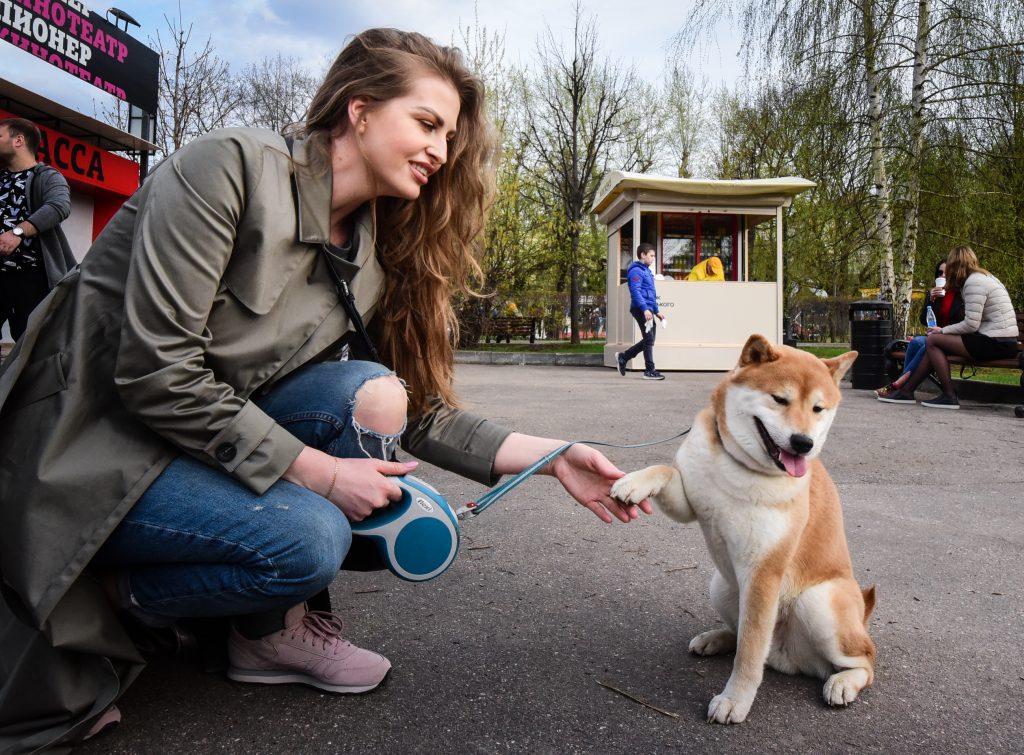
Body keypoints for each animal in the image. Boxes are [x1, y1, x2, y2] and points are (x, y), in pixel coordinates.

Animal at [610, 336, 876, 725]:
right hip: (721, 585)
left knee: (865, 660)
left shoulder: (764, 570)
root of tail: (784, 656)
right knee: (739, 633)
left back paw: (844, 682)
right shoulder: (688, 503)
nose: (803, 443)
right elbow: (665, 470)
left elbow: (750, 652)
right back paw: (716, 638)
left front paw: (735, 700)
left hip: (818, 601)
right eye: (780, 399)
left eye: (818, 409)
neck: (739, 466)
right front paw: (634, 482)